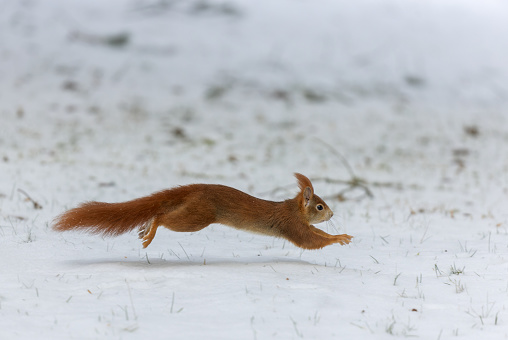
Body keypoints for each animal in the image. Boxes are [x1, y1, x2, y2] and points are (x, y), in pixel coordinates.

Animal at [52, 173, 354, 250]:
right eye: (319, 206)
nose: (332, 215)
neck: (293, 209)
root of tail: (196, 189)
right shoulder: (290, 224)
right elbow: (310, 240)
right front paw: (339, 238)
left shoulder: (298, 223)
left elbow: (313, 234)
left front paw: (341, 235)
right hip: (198, 217)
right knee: (162, 217)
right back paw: (151, 231)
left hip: (193, 211)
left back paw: (145, 228)